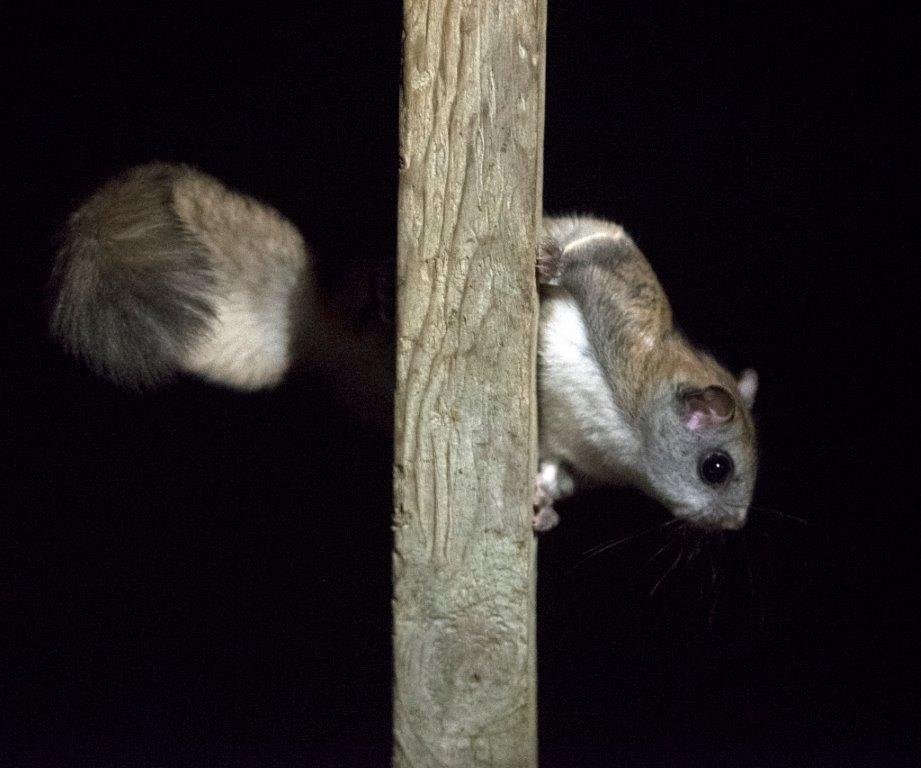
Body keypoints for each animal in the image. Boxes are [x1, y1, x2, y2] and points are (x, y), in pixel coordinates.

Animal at [48, 162, 758, 532]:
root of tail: (320, 327)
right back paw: (385, 295)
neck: (625, 439)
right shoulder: (622, 328)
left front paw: (541, 505)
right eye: (716, 467)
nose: (733, 526)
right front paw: (551, 261)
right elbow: (594, 254)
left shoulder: (570, 448)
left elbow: (553, 472)